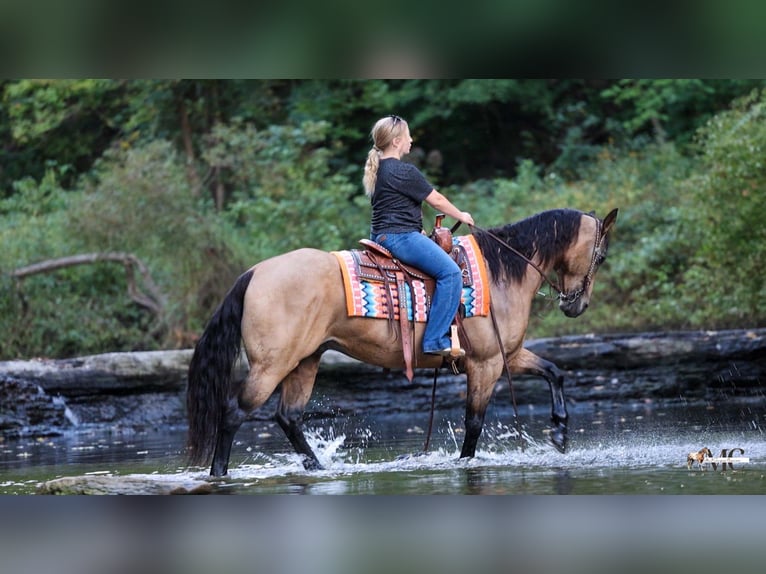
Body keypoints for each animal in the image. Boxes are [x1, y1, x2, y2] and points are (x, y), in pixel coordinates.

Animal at [187, 207, 619, 476]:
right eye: (600, 256)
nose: (576, 304)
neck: (502, 271)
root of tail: (255, 272)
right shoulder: (486, 364)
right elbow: (474, 422)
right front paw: (465, 464)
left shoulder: (505, 355)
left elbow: (554, 371)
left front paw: (560, 432)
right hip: (271, 365)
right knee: (234, 413)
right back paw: (219, 473)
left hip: (304, 361)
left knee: (287, 417)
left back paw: (318, 468)